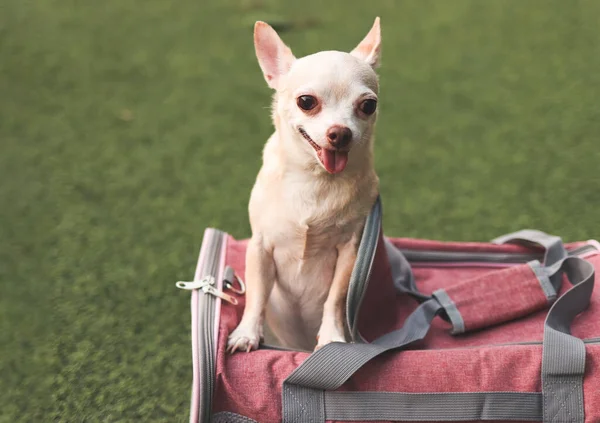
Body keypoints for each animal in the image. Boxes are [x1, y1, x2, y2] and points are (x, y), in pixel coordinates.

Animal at [227, 18, 382, 352]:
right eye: (306, 102)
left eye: (368, 105)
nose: (341, 132)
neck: (315, 179)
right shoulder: (259, 247)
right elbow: (256, 296)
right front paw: (247, 332)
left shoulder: (350, 252)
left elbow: (335, 299)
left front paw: (332, 336)